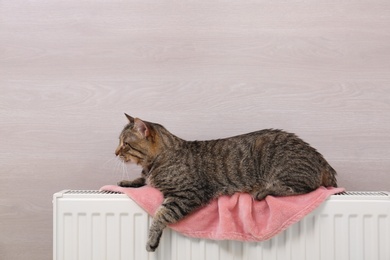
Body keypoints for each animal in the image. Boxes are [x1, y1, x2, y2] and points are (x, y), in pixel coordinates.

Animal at [114, 114, 336, 252]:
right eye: (120, 142)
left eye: (125, 144)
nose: (115, 152)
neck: (155, 162)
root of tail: (321, 158)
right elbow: (142, 180)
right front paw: (126, 181)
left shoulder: (187, 194)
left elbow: (161, 214)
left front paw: (151, 240)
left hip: (286, 171)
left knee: (301, 188)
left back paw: (264, 192)